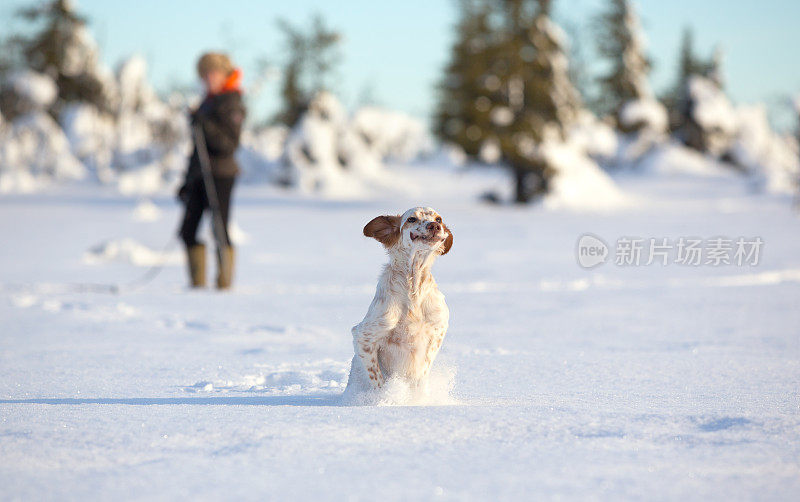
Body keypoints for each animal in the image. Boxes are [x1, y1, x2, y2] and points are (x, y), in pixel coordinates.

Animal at [344, 205, 454, 396]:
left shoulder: (437, 331)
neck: (413, 287)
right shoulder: (364, 336)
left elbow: (422, 372)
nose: (434, 226)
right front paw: (387, 398)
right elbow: (378, 381)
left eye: (439, 219)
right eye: (411, 219)